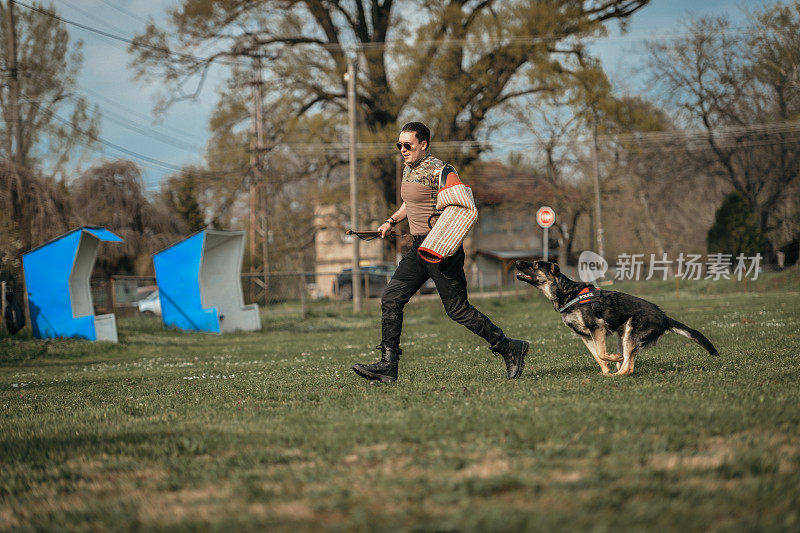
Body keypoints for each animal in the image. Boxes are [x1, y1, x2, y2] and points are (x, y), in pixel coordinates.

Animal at [520, 260, 720, 376]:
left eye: (535, 264)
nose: (517, 262)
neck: (567, 294)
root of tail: (665, 317)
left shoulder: (597, 328)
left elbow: (602, 353)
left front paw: (613, 360)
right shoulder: (585, 336)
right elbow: (597, 356)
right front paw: (606, 371)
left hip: (631, 332)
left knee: (628, 368)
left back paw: (618, 371)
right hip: (622, 335)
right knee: (628, 362)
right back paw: (615, 370)